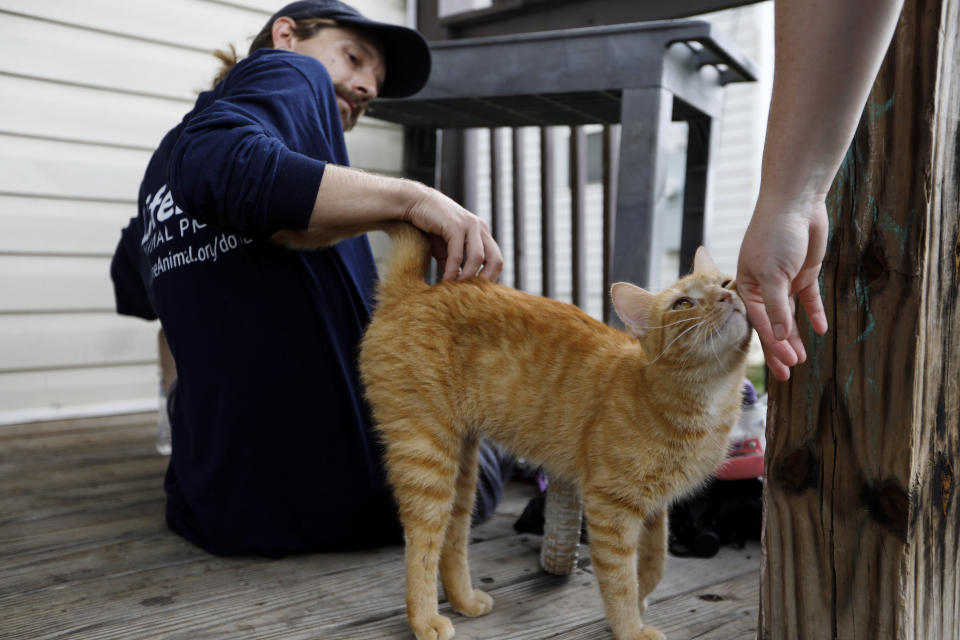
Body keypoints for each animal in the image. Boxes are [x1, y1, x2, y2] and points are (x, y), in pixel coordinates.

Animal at [344, 221, 752, 640]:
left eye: (727, 281)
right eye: (683, 304)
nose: (726, 295)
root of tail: (414, 288)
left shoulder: (655, 507)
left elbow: (656, 561)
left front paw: (645, 597)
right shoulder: (611, 506)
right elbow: (620, 581)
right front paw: (631, 628)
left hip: (462, 468)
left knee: (452, 538)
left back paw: (464, 600)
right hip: (428, 458)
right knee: (420, 544)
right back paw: (425, 619)